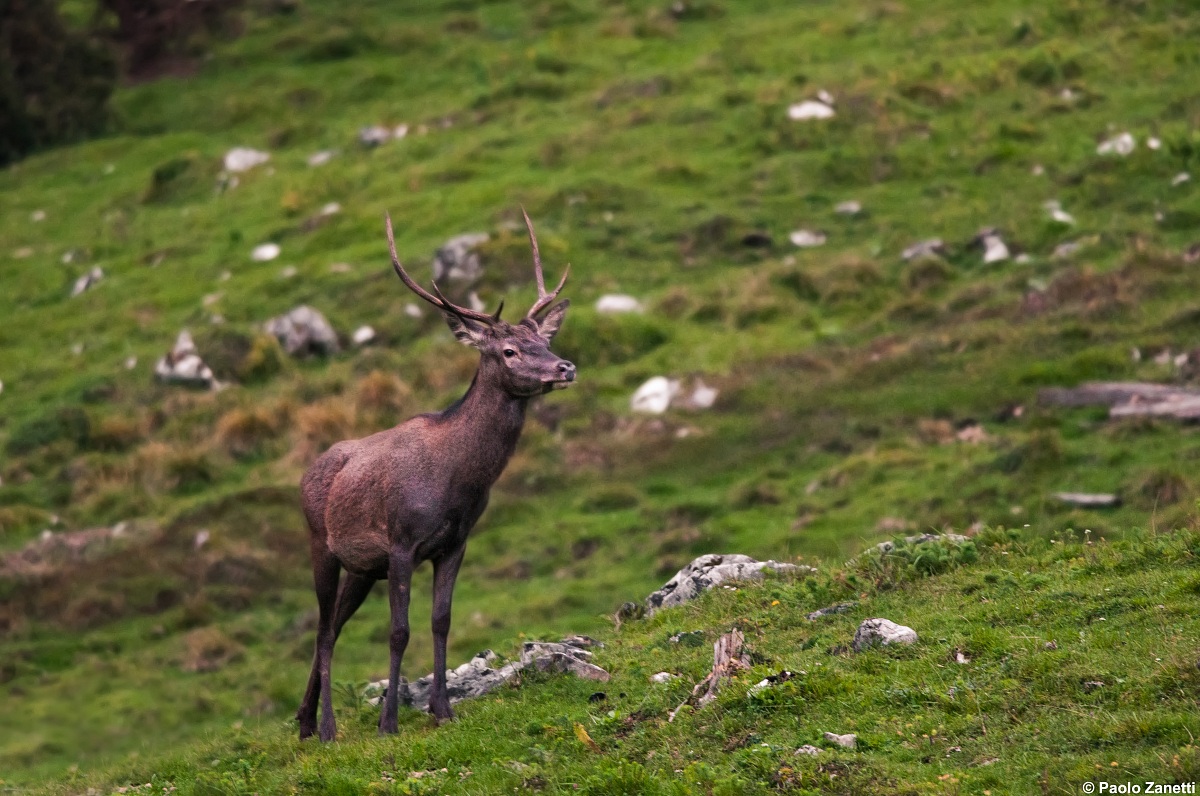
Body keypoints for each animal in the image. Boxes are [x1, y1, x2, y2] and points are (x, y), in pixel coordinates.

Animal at [296, 210, 574, 741]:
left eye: (544, 340)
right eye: (509, 350)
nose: (566, 367)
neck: (459, 482)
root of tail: (305, 474)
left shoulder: (455, 542)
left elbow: (441, 620)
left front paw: (443, 708)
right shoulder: (402, 542)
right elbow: (398, 631)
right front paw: (388, 722)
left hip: (362, 569)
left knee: (334, 627)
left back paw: (302, 721)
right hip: (321, 544)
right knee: (321, 631)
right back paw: (326, 728)